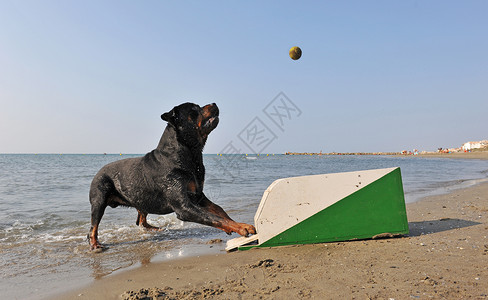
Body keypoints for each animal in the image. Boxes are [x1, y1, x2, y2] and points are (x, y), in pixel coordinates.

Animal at [88, 103, 255, 251]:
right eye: (194, 108)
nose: (213, 103)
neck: (189, 155)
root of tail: (98, 172)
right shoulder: (184, 206)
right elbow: (212, 217)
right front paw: (241, 228)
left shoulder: (198, 196)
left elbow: (218, 210)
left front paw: (239, 224)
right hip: (99, 198)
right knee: (93, 227)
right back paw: (95, 245)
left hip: (142, 198)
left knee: (141, 219)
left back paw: (154, 228)